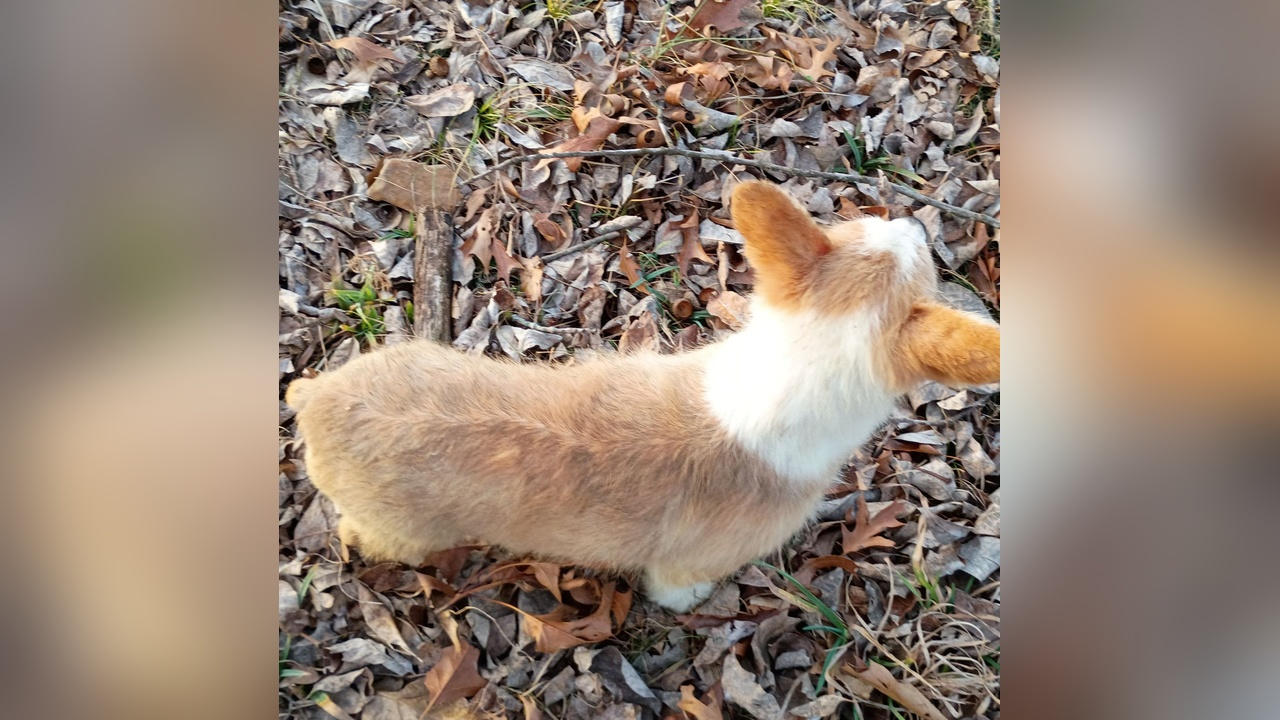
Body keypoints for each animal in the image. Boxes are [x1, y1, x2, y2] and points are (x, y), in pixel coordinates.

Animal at [286, 180, 999, 612]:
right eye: (927, 266)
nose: (916, 224)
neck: (792, 368)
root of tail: (314, 399)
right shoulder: (682, 570)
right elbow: (680, 591)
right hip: (401, 531)